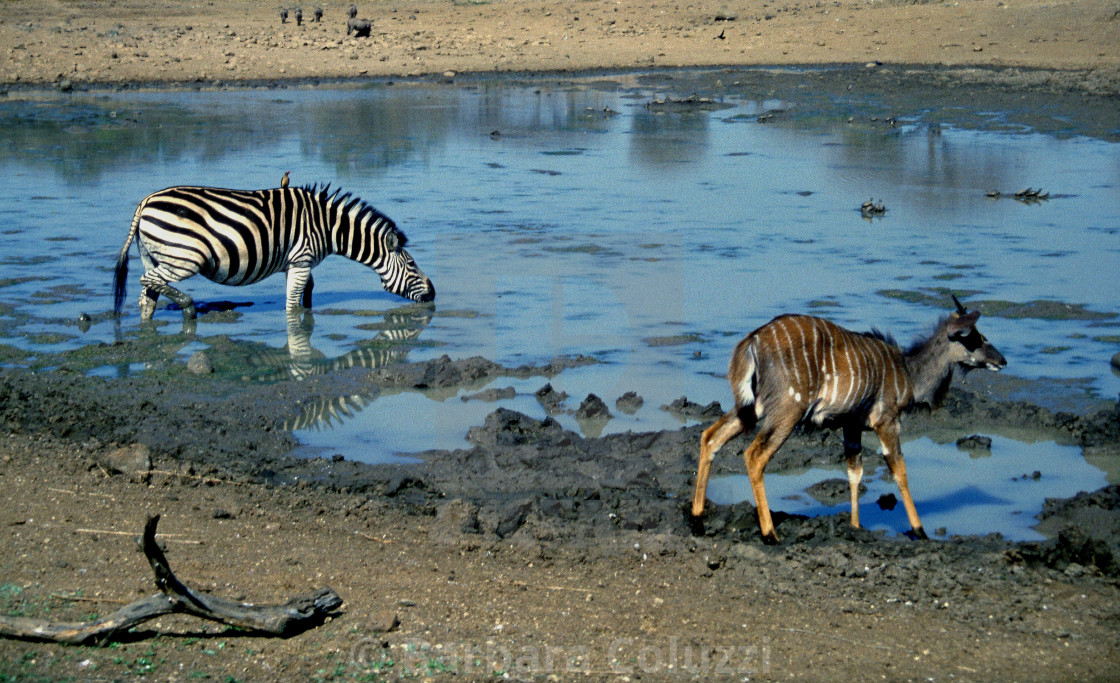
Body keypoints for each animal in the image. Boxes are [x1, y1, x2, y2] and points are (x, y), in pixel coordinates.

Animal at [110, 183, 432, 322]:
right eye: (412, 264)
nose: (433, 294)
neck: (328, 226)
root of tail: (145, 201)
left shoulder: (298, 261)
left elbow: (307, 292)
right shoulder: (301, 259)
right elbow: (291, 302)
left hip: (154, 255)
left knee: (148, 295)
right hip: (184, 258)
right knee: (149, 282)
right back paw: (188, 306)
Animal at [689, 295, 1008, 539]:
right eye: (976, 338)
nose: (1002, 360)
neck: (908, 371)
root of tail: (753, 339)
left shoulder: (851, 426)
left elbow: (855, 472)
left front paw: (855, 526)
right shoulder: (886, 421)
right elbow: (900, 472)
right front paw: (919, 530)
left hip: (751, 409)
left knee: (710, 437)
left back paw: (697, 520)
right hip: (786, 412)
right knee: (754, 456)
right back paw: (770, 535)